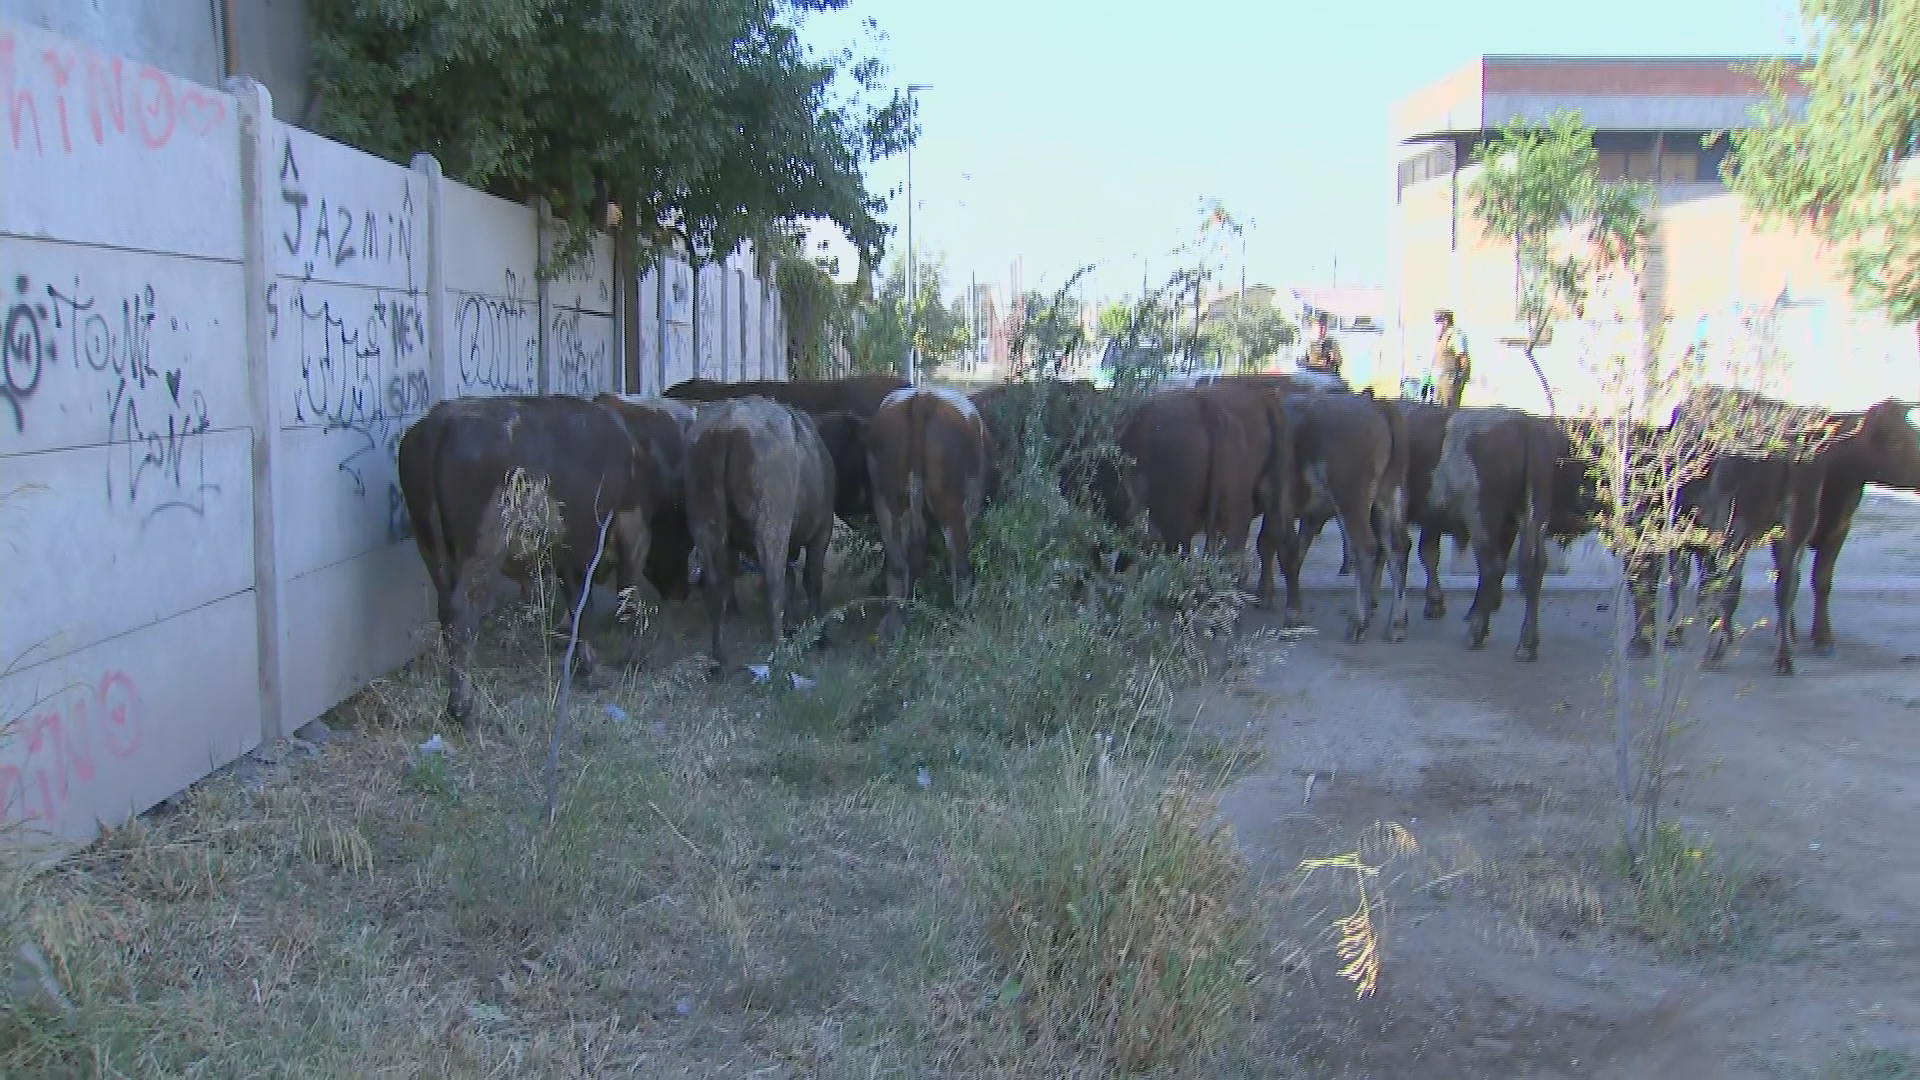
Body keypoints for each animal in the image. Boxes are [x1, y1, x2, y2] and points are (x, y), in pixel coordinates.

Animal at [393, 390, 672, 726]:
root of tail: (439, 424)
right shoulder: (632, 530)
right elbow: (625, 600)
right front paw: (631, 660)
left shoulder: (569, 548)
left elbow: (580, 606)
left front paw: (587, 666)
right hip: (483, 546)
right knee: (461, 615)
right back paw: (463, 708)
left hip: (431, 547)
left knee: (446, 612)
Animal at [687, 393, 844, 672]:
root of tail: (727, 420)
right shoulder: (821, 531)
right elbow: (810, 580)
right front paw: (819, 635)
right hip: (771, 525)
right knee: (773, 582)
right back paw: (780, 649)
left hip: (705, 525)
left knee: (715, 586)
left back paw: (719, 658)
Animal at [864, 382, 998, 634]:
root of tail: (922, 398)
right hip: (951, 505)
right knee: (959, 562)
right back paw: (963, 616)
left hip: (887, 501)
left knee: (897, 565)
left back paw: (893, 625)